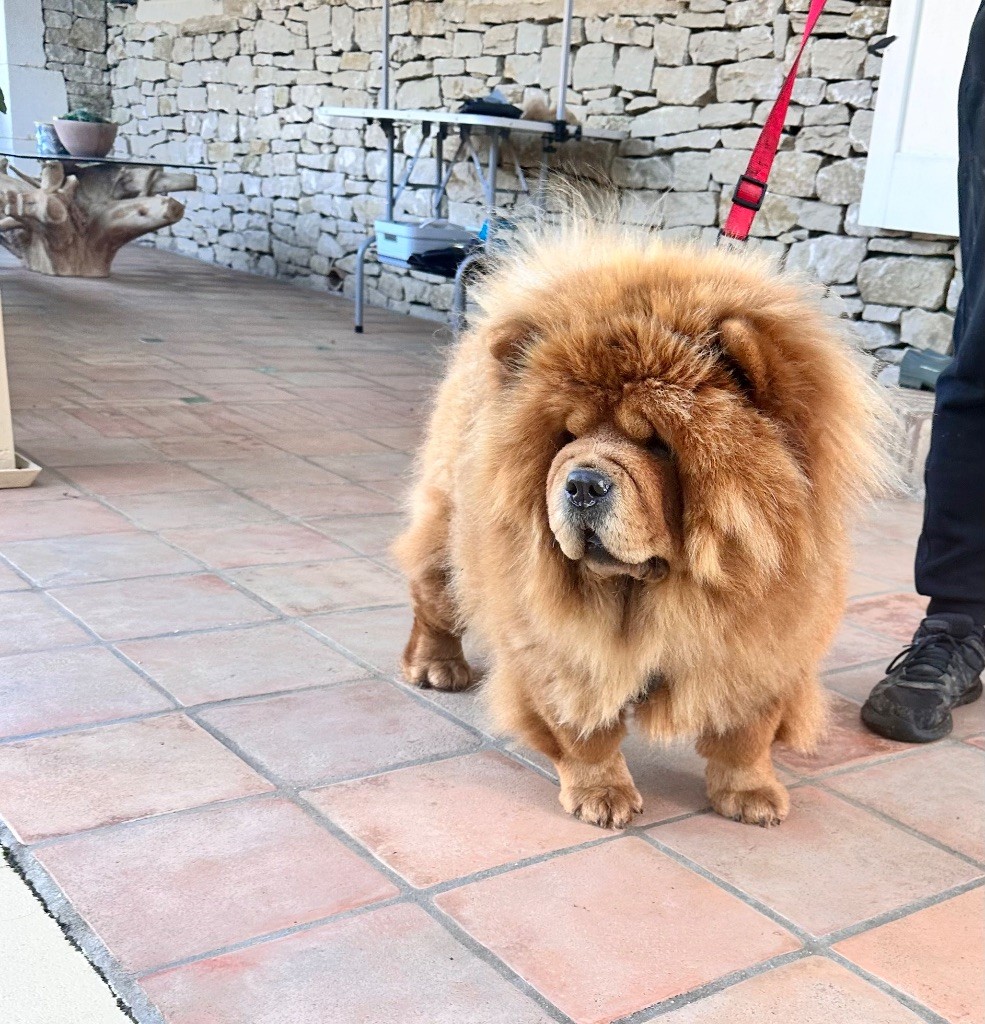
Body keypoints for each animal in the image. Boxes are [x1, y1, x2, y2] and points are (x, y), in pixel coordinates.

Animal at [393, 220, 892, 827]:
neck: (656, 589)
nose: (582, 483)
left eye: (657, 444)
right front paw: (602, 794)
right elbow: (583, 731)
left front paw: (750, 794)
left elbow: (746, 734)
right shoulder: (558, 645)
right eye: (566, 437)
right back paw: (437, 666)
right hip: (449, 544)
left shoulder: (764, 639)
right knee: (432, 602)